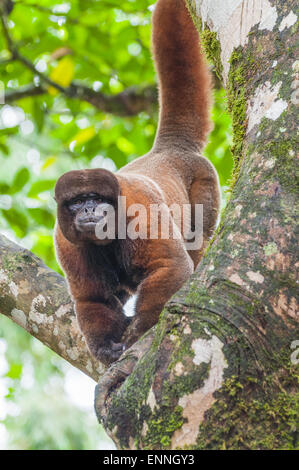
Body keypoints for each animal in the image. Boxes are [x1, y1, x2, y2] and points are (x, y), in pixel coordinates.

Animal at [55, 0, 221, 366]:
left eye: (95, 197)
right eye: (77, 202)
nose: (88, 210)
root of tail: (169, 148)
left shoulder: (139, 208)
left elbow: (171, 266)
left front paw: (138, 335)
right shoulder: (64, 240)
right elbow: (93, 300)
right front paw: (107, 346)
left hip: (204, 180)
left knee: (197, 240)